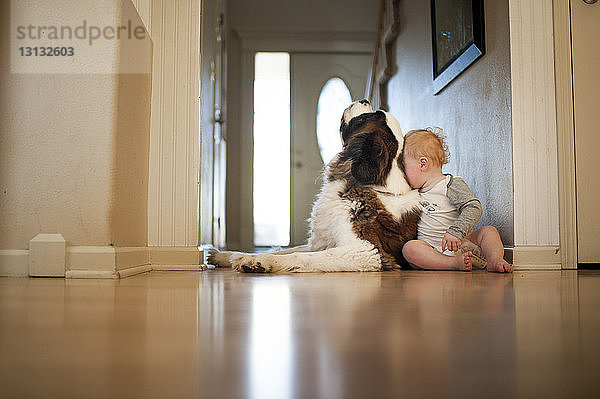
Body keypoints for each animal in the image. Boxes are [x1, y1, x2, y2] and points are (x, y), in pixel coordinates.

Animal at [209, 100, 420, 274]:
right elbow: (286, 250)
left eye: (367, 117)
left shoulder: (368, 251)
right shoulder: (322, 242)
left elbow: (301, 256)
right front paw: (228, 255)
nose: (364, 99)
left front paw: (260, 261)